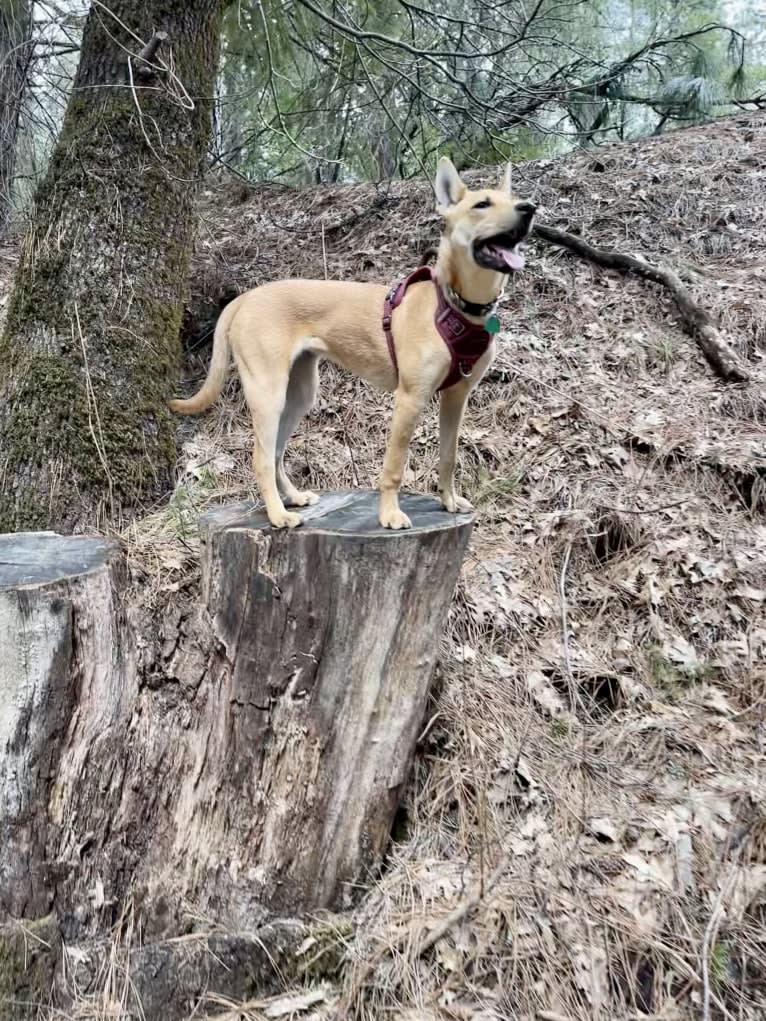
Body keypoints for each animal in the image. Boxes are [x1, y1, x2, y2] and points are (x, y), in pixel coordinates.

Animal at [170, 160, 535, 530]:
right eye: (482, 204)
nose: (529, 208)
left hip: (299, 395)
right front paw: (389, 514)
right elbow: (394, 467)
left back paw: (293, 498)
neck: (457, 304)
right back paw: (278, 515)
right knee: (261, 457)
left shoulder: (456, 398)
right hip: (268, 392)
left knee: (276, 453)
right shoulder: (410, 399)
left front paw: (448, 501)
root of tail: (245, 297)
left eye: (513, 199)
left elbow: (448, 456)